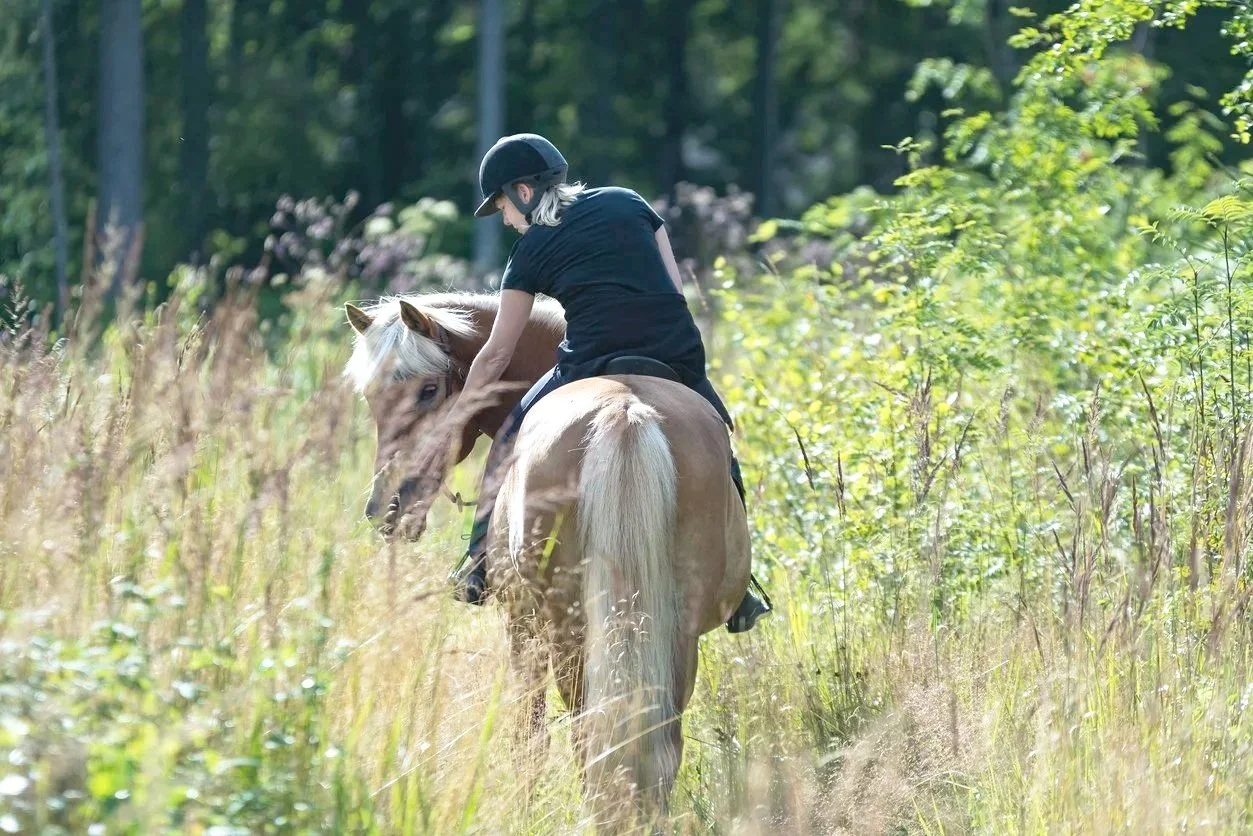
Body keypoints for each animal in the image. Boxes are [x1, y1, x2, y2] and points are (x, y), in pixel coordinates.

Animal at [343, 291, 752, 827]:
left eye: (429, 390)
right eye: (371, 398)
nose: (386, 508)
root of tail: (624, 413)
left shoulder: (520, 626)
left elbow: (528, 737)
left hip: (568, 632)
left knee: (587, 736)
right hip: (672, 631)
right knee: (656, 742)